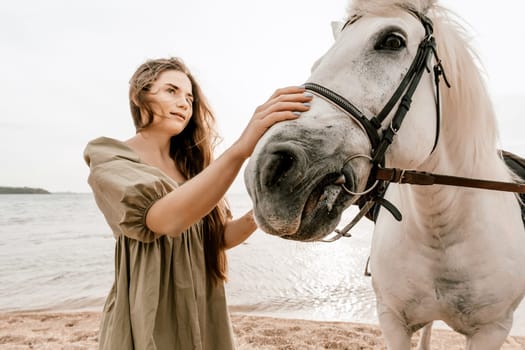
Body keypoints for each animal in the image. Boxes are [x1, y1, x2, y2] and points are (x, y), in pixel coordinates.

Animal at [245, 0, 524, 350]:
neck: (441, 228)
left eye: (392, 41)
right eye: (317, 63)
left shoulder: (492, 330)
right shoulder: (392, 320)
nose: (268, 171)